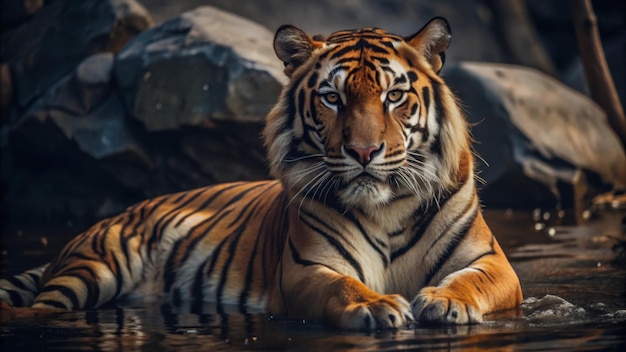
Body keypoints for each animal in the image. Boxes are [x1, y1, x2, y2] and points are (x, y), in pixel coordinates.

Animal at [1, 17, 520, 330]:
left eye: (394, 96)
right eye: (332, 98)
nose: (363, 151)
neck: (387, 207)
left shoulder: (493, 261)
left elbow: (471, 280)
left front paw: (446, 302)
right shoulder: (309, 267)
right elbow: (344, 286)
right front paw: (377, 305)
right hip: (99, 264)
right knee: (40, 307)